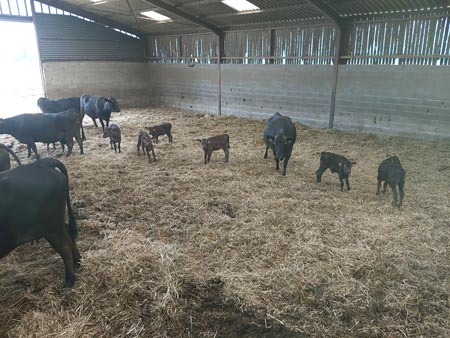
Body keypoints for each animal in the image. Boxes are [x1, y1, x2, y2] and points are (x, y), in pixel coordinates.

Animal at [0, 157, 80, 286]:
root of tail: (41, 163)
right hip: (56, 222)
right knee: (69, 235)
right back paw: (78, 263)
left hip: (51, 225)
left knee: (65, 245)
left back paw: (69, 280)